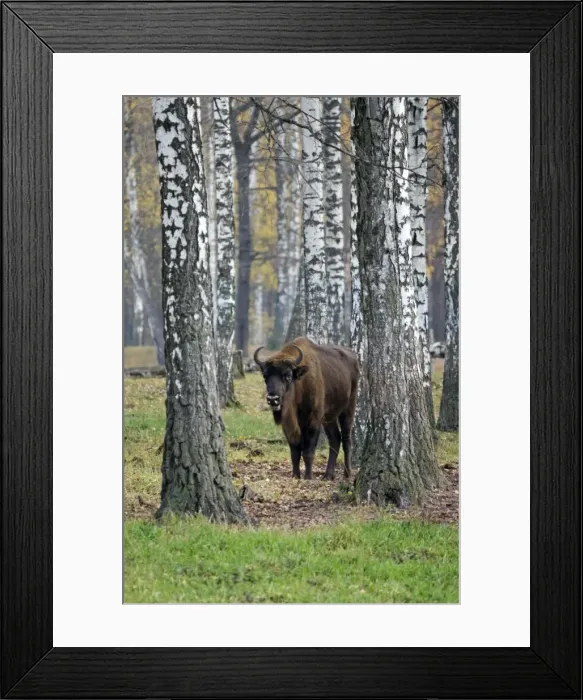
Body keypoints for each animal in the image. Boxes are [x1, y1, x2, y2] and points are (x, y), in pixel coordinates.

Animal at [254, 336, 359, 480]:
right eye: (265, 376)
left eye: (288, 375)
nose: (272, 399)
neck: (300, 384)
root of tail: (353, 357)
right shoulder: (289, 425)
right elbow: (295, 451)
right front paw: (295, 476)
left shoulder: (313, 421)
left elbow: (308, 451)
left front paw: (308, 477)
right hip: (329, 417)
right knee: (335, 439)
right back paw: (328, 475)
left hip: (348, 409)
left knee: (346, 439)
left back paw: (347, 474)